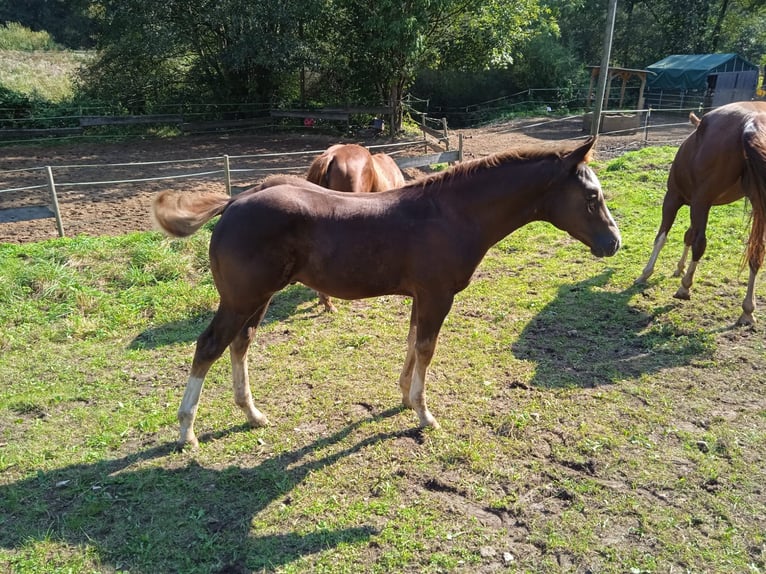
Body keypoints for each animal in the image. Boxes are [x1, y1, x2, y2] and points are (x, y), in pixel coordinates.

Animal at [636, 103, 766, 326]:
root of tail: (750, 121)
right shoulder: (698, 205)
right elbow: (687, 235)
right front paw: (679, 267)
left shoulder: (674, 198)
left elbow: (662, 237)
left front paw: (646, 273)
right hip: (757, 204)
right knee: (756, 253)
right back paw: (748, 310)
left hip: (699, 201)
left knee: (700, 243)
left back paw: (685, 287)